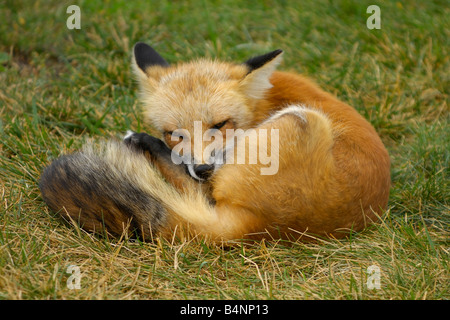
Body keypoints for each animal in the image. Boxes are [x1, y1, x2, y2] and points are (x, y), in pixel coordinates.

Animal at [38, 43, 390, 242]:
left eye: (220, 125)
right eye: (175, 133)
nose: (203, 168)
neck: (261, 105)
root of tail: (270, 227)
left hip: (304, 119)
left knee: (199, 194)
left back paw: (141, 144)